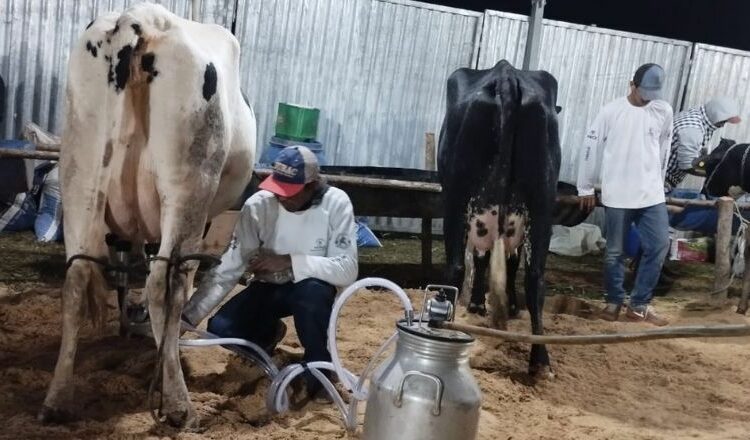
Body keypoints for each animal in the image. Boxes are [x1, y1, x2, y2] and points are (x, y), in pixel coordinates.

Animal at [39, 4, 258, 430]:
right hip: (188, 183)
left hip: (80, 171)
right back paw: (179, 406)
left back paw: (56, 400)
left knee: (75, 279)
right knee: (165, 283)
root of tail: (136, 20)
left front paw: (129, 327)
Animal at [440, 60, 564, 380]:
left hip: (455, 196)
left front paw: (478, 304)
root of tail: (506, 74)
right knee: (535, 278)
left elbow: (481, 258)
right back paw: (540, 362)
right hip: (542, 199)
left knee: (456, 268)